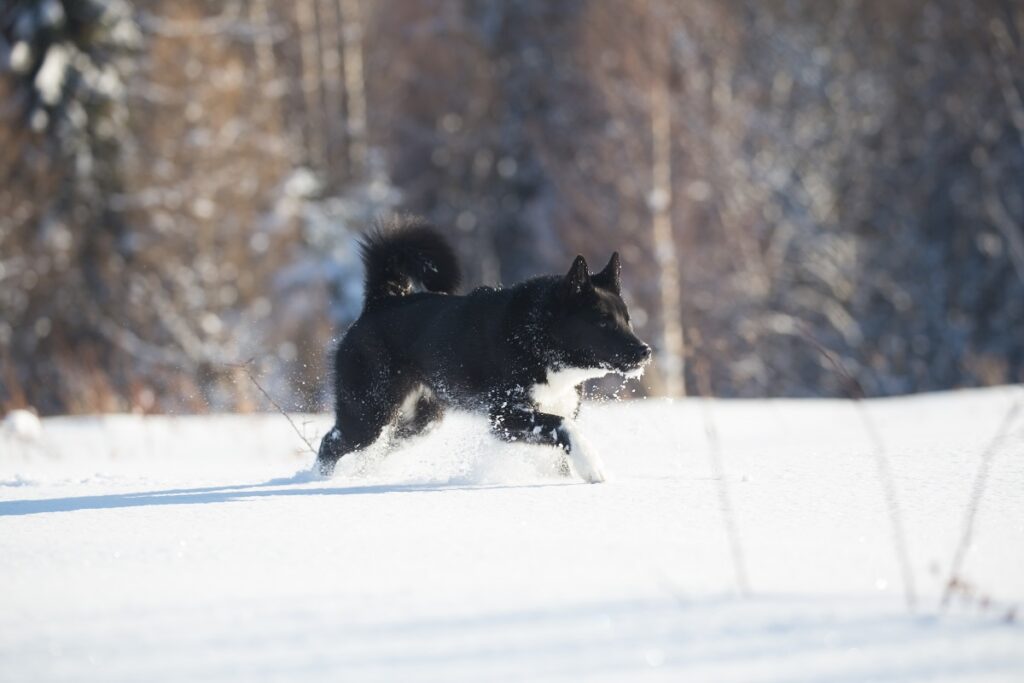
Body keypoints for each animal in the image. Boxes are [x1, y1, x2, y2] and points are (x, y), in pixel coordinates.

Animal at [315, 218, 651, 481]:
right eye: (603, 322)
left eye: (628, 320)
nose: (645, 351)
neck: (539, 340)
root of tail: (382, 300)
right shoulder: (505, 417)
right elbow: (563, 427)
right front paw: (591, 465)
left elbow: (559, 445)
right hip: (368, 412)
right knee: (331, 442)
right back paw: (318, 481)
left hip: (420, 421)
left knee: (380, 445)